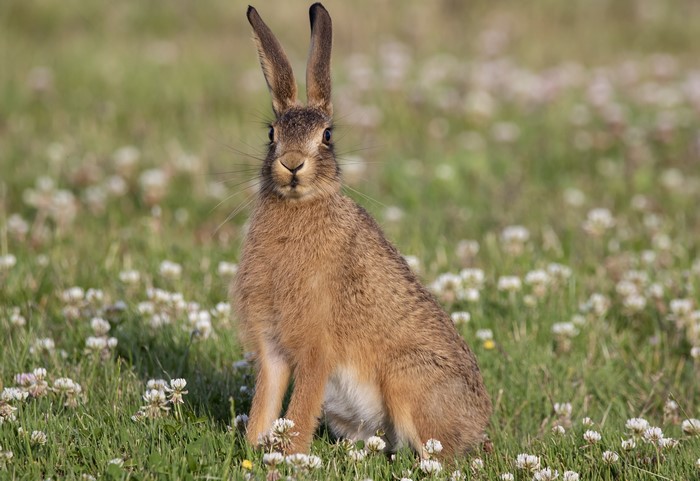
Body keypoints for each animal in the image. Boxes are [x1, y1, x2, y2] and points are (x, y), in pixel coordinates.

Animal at [231, 2, 492, 458]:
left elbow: (300, 408)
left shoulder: (316, 347)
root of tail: (478, 425)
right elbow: (266, 399)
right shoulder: (272, 347)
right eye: (271, 134)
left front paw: (289, 456)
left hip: (408, 379)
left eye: (327, 136)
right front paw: (255, 447)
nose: (292, 163)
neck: (301, 208)